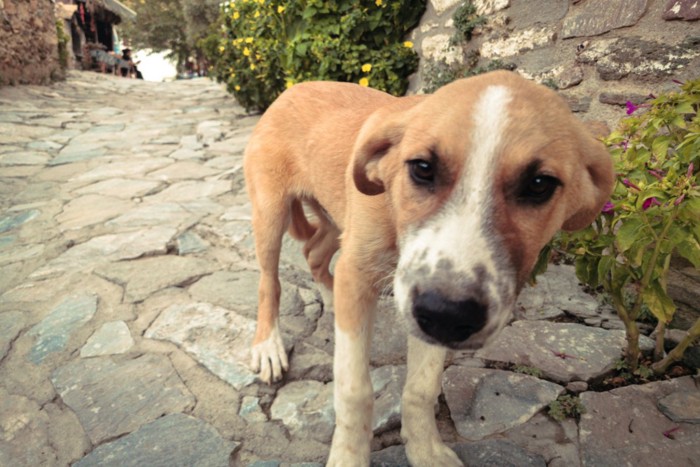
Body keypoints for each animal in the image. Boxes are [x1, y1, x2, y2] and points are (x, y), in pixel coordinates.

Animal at [243, 70, 616, 467]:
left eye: (539, 185)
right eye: (422, 168)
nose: (448, 315)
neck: (393, 209)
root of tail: (294, 87)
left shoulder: (425, 295)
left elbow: (422, 387)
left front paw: (424, 450)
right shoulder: (366, 273)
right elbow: (354, 389)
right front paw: (348, 457)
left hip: (334, 220)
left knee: (315, 253)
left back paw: (330, 298)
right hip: (271, 214)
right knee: (270, 281)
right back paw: (268, 346)